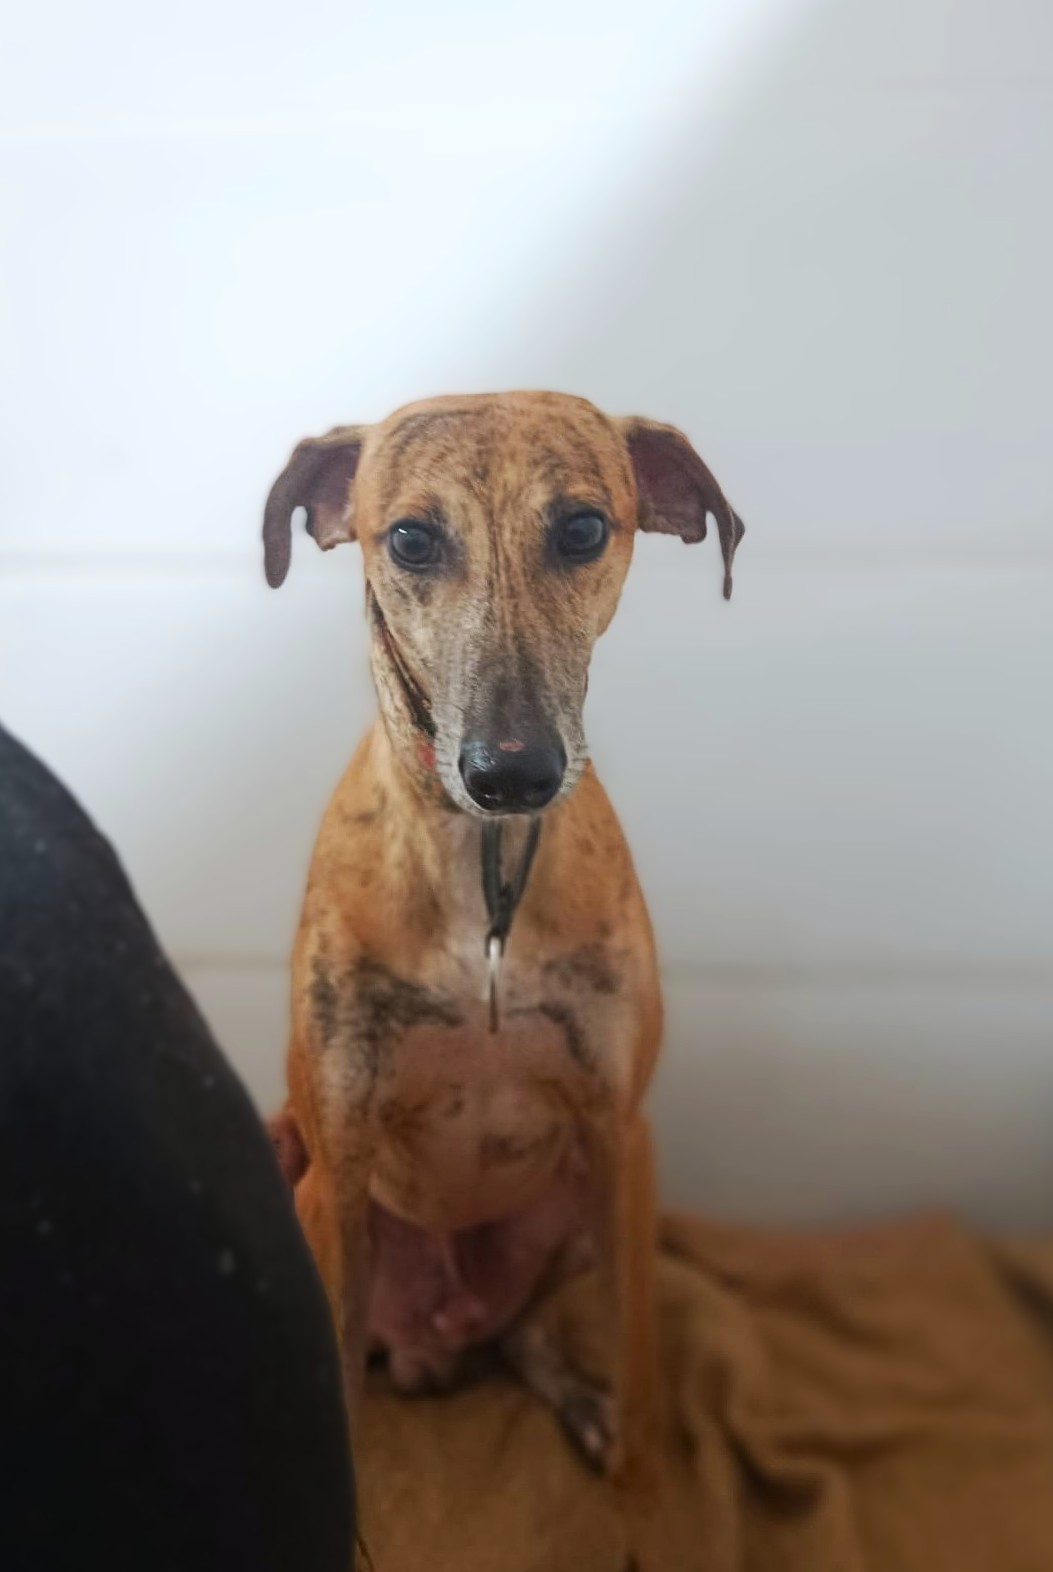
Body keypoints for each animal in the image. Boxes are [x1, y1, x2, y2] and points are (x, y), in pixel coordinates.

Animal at [263, 391, 743, 1486]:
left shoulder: (619, 1136)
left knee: (529, 1333)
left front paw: (637, 1472)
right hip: (293, 1171)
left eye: (582, 529)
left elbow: (641, 1372)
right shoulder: (340, 1167)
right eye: (409, 537)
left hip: (574, 1209)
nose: (512, 773)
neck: (481, 884)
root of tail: (436, 1335)